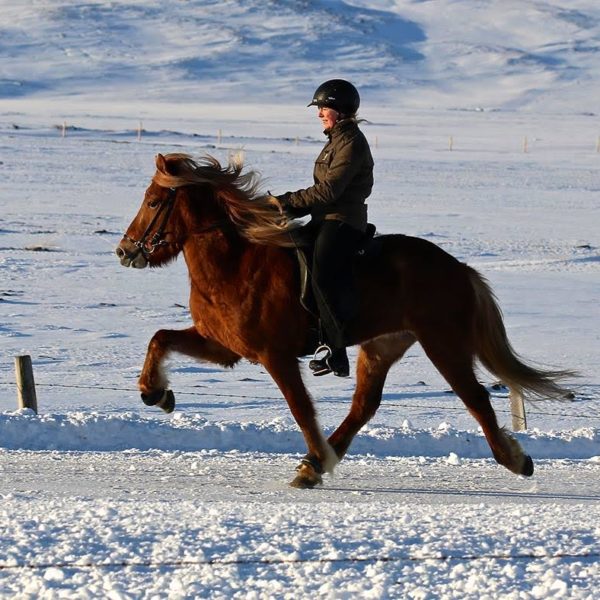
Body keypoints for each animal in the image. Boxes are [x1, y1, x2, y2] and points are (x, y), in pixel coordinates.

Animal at [116, 152, 572, 490]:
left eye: (154, 202)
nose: (124, 251)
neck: (237, 263)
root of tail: (459, 269)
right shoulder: (225, 346)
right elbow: (160, 337)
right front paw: (156, 393)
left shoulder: (275, 355)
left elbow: (300, 407)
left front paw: (316, 453)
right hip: (383, 345)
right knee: (364, 405)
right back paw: (313, 466)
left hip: (443, 342)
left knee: (474, 396)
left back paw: (515, 459)